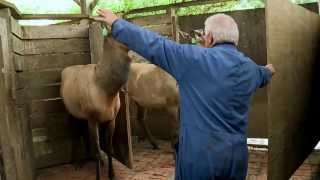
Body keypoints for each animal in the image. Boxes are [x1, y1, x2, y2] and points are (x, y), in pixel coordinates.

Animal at [60, 35, 130, 179]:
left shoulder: (112, 119)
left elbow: (108, 148)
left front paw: (112, 174)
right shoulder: (92, 117)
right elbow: (97, 148)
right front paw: (98, 177)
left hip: (82, 116)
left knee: (84, 135)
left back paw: (89, 159)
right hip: (70, 112)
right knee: (75, 134)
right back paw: (76, 162)